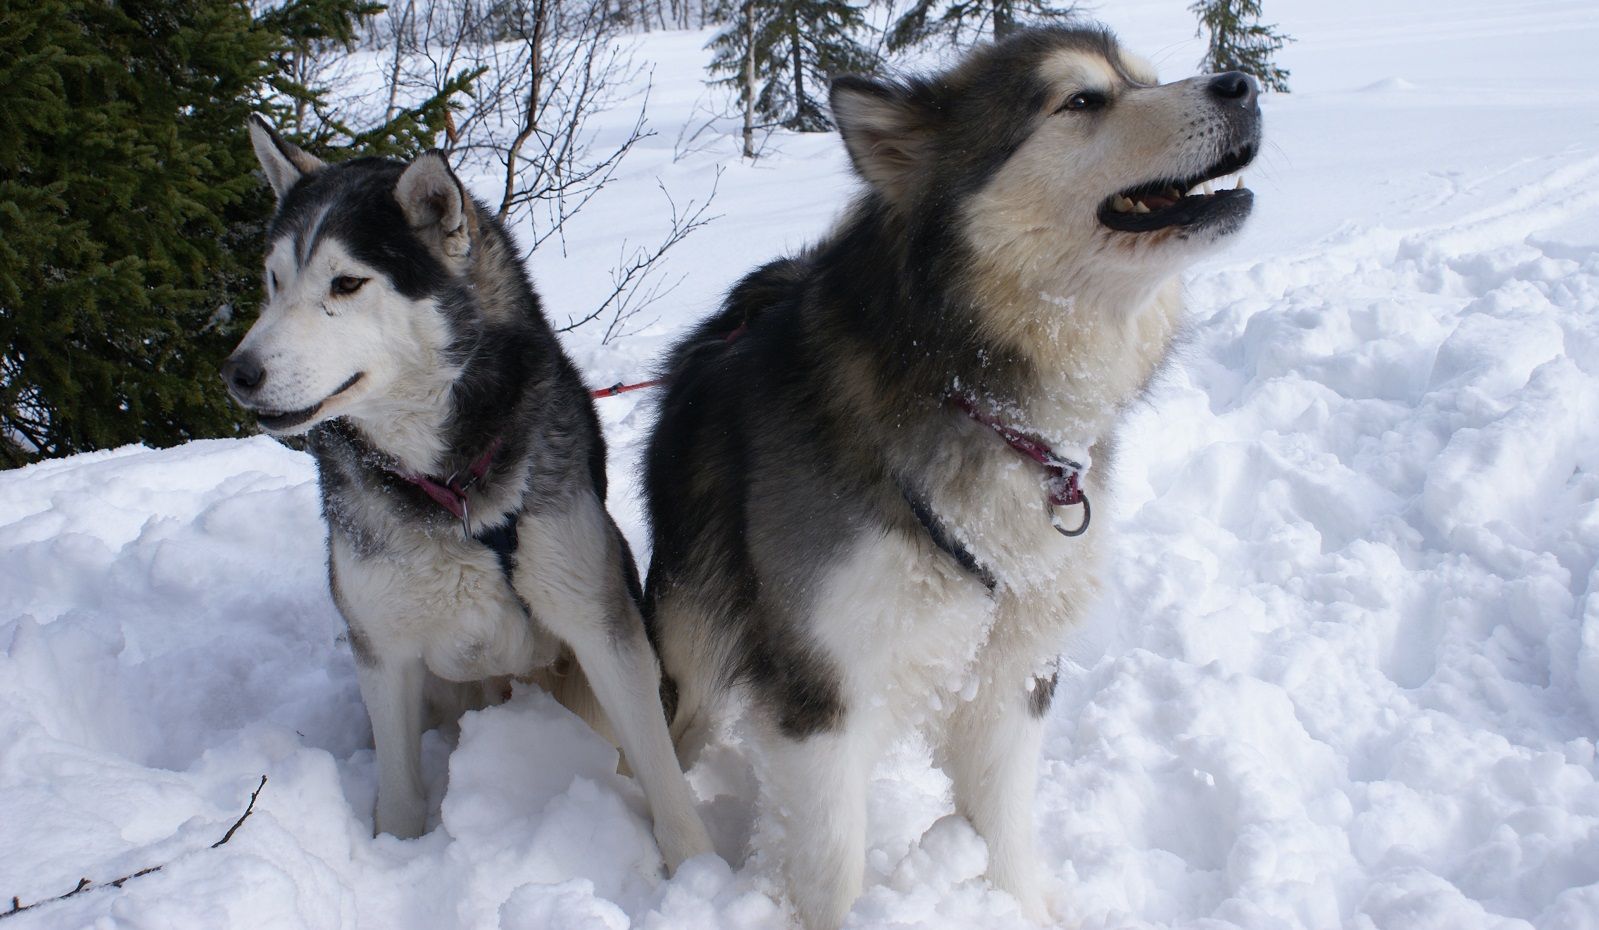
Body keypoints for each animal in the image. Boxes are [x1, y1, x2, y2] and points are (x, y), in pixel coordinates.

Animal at [223, 118, 706, 875]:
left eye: (347, 282)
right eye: (273, 281)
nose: (238, 373)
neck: (448, 488)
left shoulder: (598, 623)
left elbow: (661, 773)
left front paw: (697, 870)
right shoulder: (384, 651)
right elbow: (398, 792)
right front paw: (395, 858)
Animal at [645, 25, 1260, 926]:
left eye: (1147, 78)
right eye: (1082, 100)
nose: (1241, 83)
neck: (976, 388)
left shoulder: (1015, 666)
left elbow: (1002, 822)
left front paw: (1018, 903)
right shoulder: (822, 687)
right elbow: (832, 864)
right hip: (691, 641)